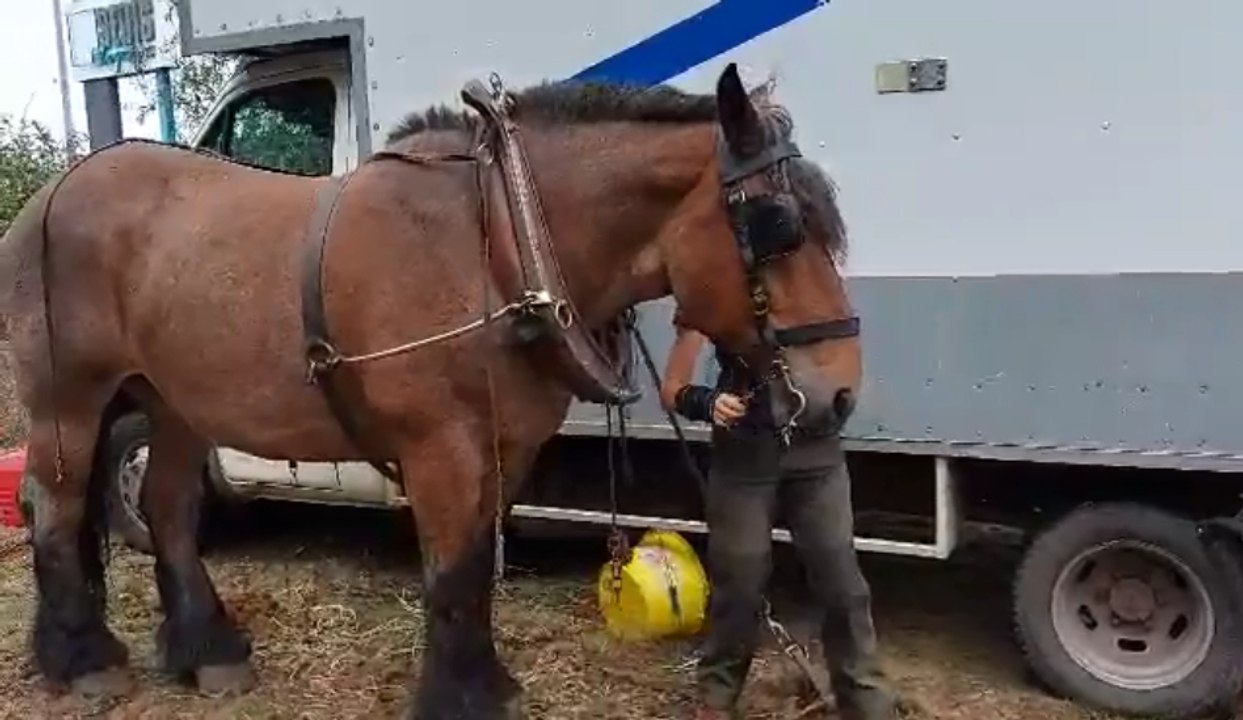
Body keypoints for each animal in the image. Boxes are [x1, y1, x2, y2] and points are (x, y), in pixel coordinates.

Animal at [0, 63, 861, 719]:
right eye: (778, 226)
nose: (840, 395)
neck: (501, 243)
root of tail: (51, 195)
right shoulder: (439, 449)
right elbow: (449, 572)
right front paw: (458, 697)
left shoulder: (505, 450)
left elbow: (474, 567)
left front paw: (487, 684)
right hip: (69, 400)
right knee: (57, 509)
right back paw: (84, 660)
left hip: (174, 399)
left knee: (169, 509)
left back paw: (208, 653)